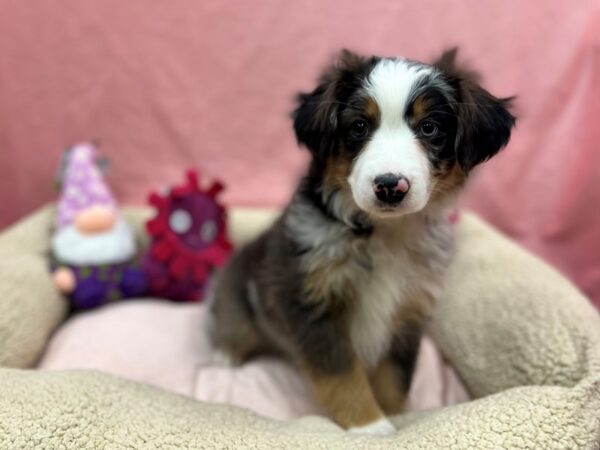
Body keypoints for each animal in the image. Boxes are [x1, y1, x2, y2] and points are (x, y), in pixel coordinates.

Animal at [207, 47, 516, 434]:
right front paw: (369, 426)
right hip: (240, 290)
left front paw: (397, 417)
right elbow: (342, 374)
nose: (390, 186)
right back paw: (223, 356)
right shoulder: (312, 301)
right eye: (359, 126)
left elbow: (395, 376)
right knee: (233, 324)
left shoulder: (409, 310)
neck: (384, 233)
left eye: (429, 127)